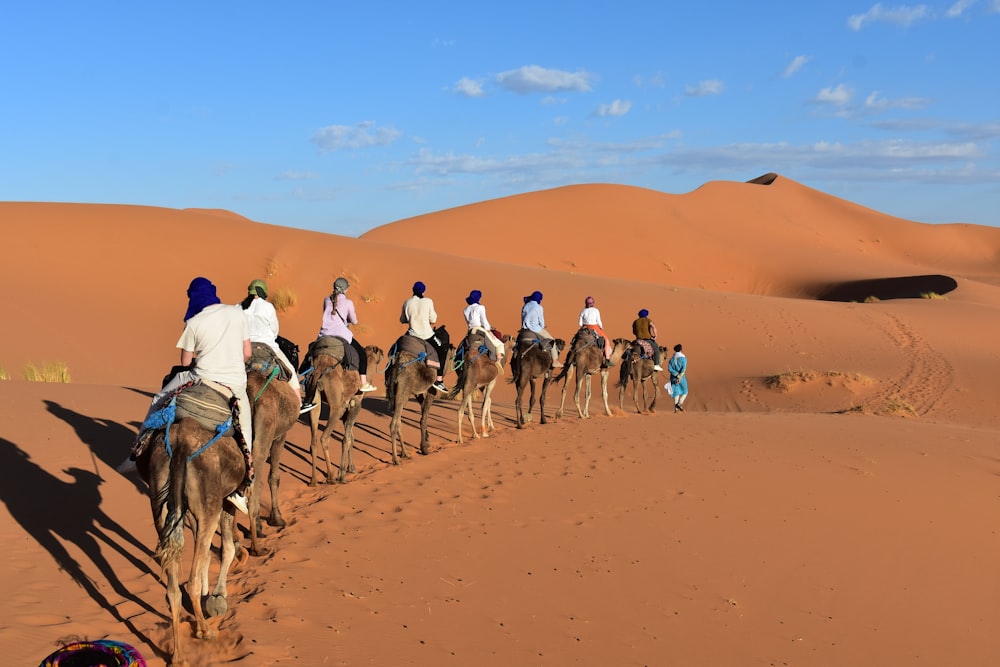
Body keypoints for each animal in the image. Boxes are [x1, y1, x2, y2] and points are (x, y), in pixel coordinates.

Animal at [140, 420, 245, 667]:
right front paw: (219, 596)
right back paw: (205, 631)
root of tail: (180, 447)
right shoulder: (231, 497)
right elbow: (226, 547)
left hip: (160, 501)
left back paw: (178, 655)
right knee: (191, 582)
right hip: (209, 506)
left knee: (173, 589)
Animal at [386, 332, 458, 462]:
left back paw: (405, 453)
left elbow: (423, 409)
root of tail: (397, 363)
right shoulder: (431, 389)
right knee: (394, 423)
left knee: (398, 421)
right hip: (403, 390)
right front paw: (424, 448)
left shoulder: (417, 392)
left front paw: (427, 442)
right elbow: (424, 418)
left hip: (395, 391)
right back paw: (396, 459)